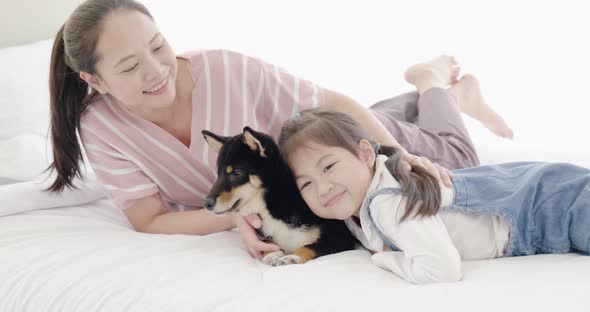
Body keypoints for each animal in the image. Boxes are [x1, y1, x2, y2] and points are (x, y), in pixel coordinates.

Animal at [201, 127, 358, 266]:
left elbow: (310, 246)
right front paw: (272, 254)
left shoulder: (340, 237)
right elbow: (268, 242)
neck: (273, 205)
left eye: (236, 172)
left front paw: (293, 257)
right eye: (218, 174)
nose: (206, 203)